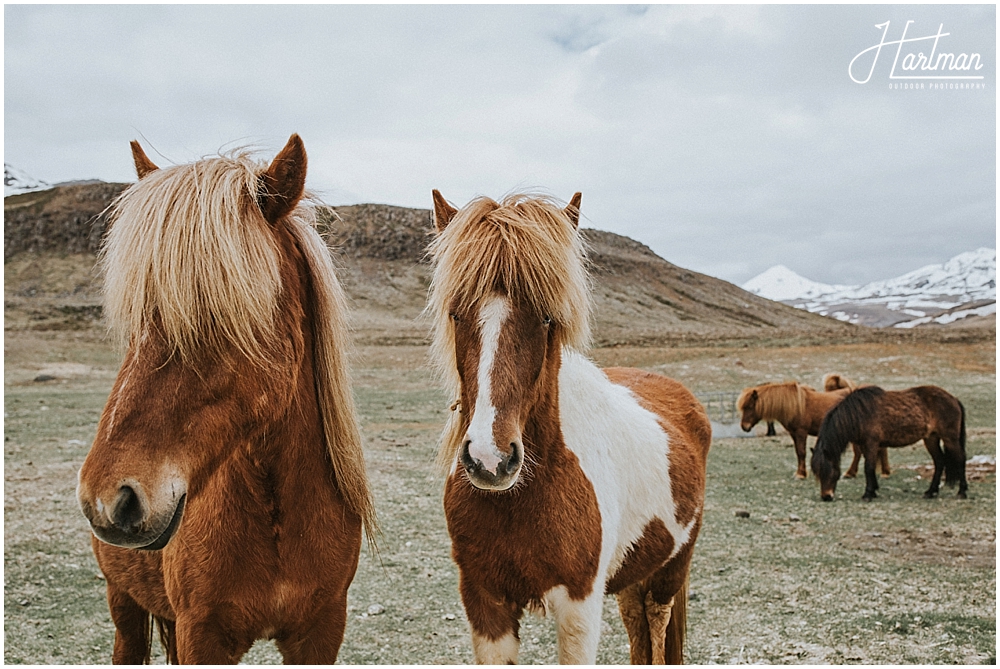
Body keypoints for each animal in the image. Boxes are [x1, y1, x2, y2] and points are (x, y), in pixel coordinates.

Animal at [75, 137, 376, 664]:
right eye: (135, 320)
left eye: (221, 314)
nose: (109, 499)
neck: (278, 517)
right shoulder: (203, 634)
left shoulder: (321, 630)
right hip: (123, 602)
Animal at [428, 189, 712, 664]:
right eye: (455, 313)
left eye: (546, 318)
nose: (490, 459)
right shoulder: (485, 602)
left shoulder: (580, 608)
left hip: (671, 567)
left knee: (655, 626)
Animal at [812, 380, 968, 500]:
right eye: (817, 473)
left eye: (831, 470)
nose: (826, 497)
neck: (859, 414)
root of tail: (953, 399)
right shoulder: (865, 445)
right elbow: (870, 467)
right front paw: (873, 490)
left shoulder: (871, 444)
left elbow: (868, 467)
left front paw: (868, 494)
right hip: (931, 438)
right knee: (939, 462)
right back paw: (930, 492)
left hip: (950, 438)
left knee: (960, 459)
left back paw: (962, 492)